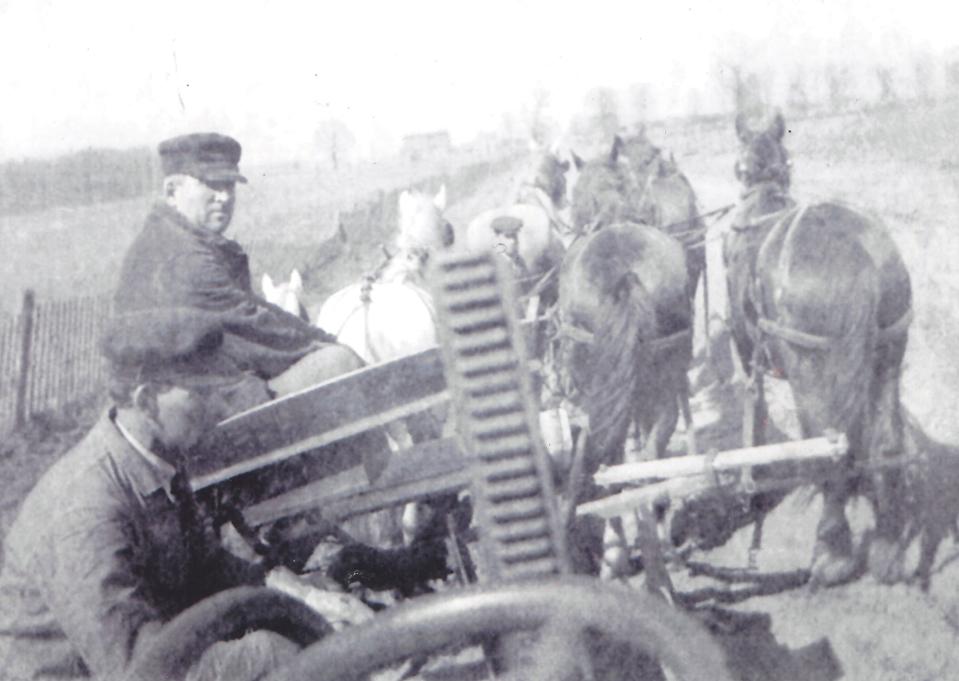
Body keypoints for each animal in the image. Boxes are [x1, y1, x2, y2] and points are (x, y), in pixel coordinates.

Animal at [728, 110, 916, 584]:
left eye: (739, 166)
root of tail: (861, 257)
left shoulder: (748, 349)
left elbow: (756, 411)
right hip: (888, 349)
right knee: (886, 442)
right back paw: (888, 547)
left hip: (810, 372)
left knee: (827, 447)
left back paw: (832, 554)